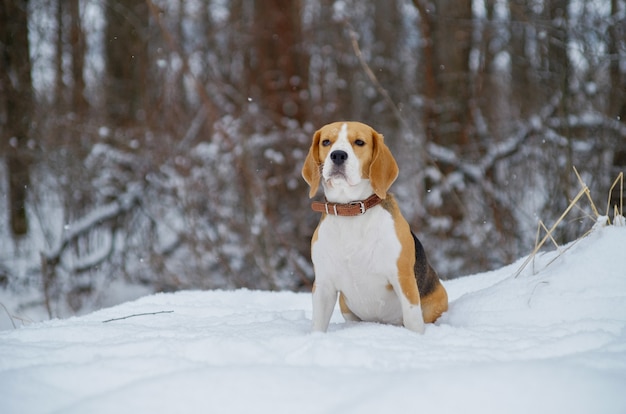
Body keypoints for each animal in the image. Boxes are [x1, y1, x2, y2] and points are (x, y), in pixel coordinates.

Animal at [302, 120, 444, 334]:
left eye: (360, 142)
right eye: (326, 142)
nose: (338, 155)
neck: (350, 210)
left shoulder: (403, 278)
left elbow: (413, 320)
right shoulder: (324, 284)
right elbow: (318, 323)